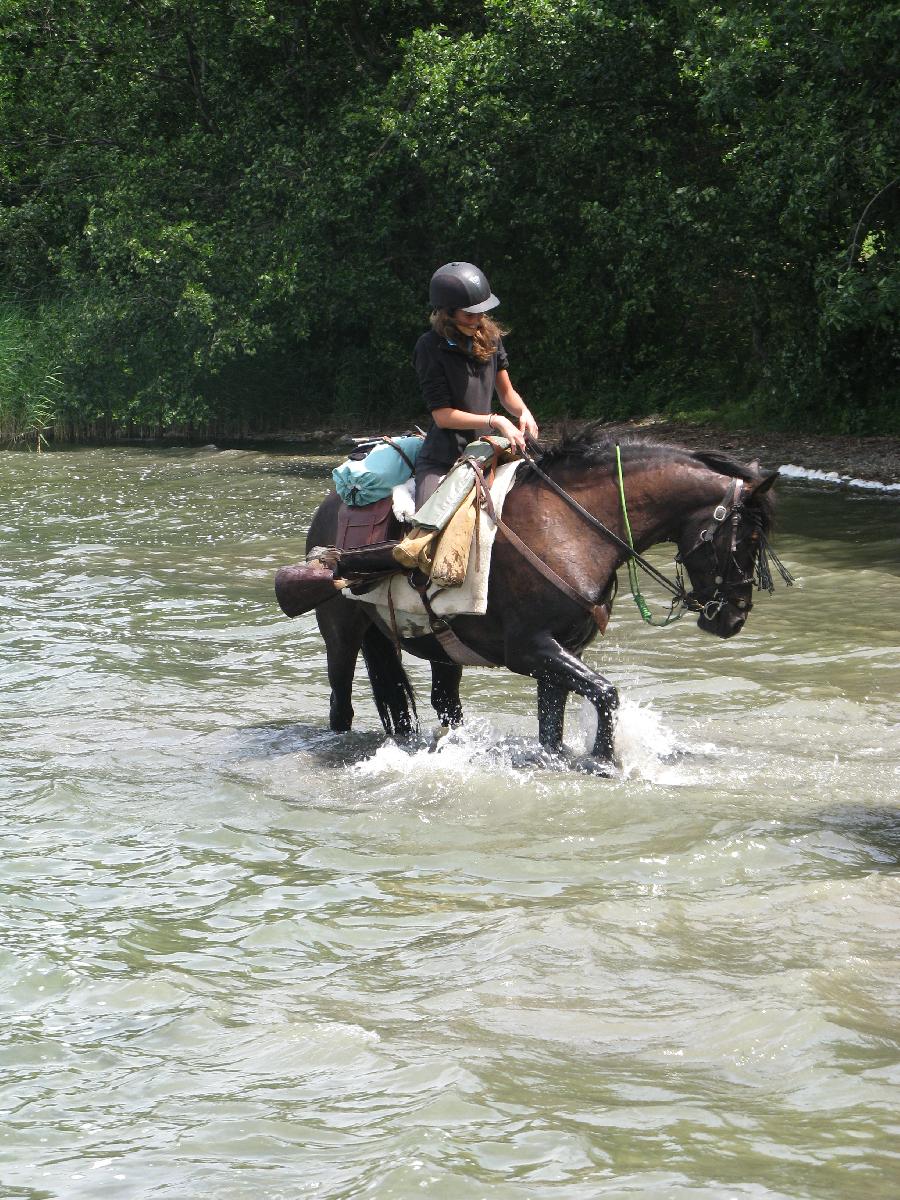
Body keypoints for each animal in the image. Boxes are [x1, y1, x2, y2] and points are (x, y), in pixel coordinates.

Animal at [280, 432, 787, 768]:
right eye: (748, 539)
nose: (734, 618)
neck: (573, 526)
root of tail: (330, 504)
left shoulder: (557, 654)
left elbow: (553, 731)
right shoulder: (529, 650)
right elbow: (607, 693)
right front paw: (605, 762)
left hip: (439, 649)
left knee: (439, 705)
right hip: (341, 636)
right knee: (341, 705)